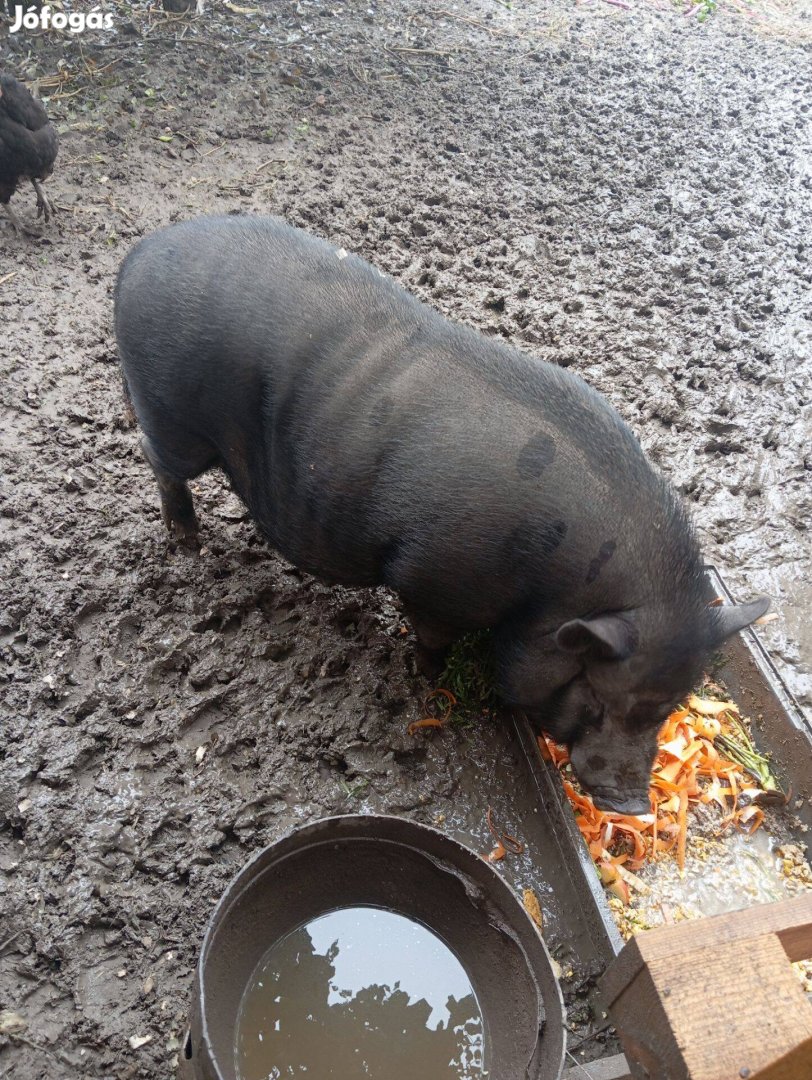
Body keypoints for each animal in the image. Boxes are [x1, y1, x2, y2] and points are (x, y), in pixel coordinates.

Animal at [112, 217, 768, 812]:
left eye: (668, 707)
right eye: (603, 699)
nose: (632, 803)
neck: (555, 586)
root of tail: (137, 256)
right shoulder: (435, 578)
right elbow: (432, 637)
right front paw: (429, 678)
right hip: (174, 419)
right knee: (158, 460)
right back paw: (186, 542)